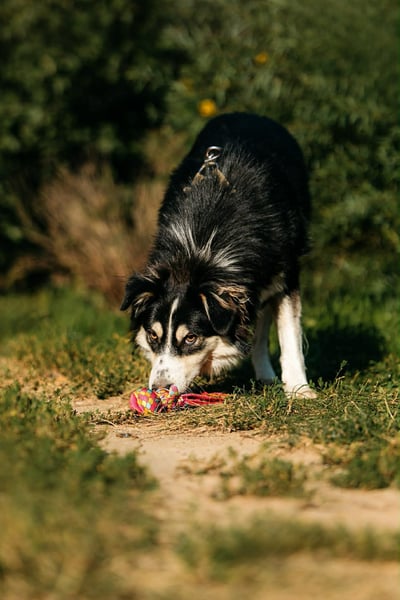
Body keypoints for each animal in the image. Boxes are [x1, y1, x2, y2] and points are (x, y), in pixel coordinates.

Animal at [121, 113, 316, 398]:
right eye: (153, 336)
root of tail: (247, 114)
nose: (159, 389)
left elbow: (289, 333)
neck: (201, 249)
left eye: (190, 338)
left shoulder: (286, 273)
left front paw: (299, 390)